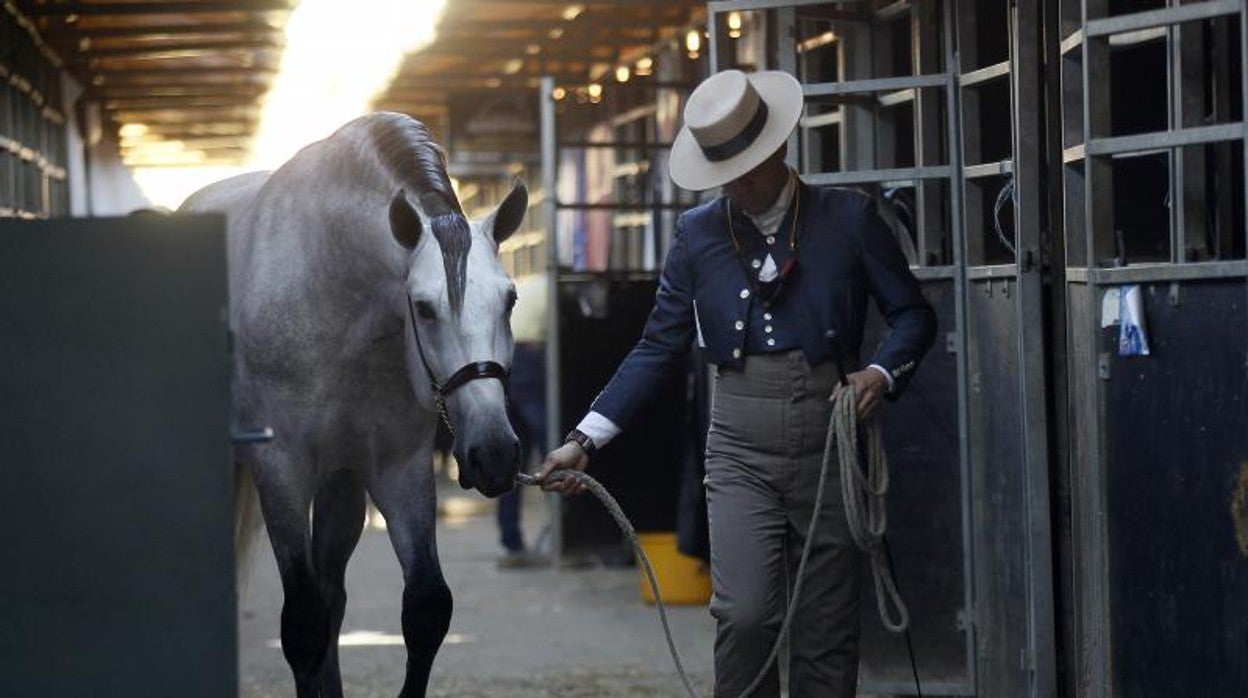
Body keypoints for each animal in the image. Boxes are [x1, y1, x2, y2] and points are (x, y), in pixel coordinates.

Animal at [180, 111, 526, 694]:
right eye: (423, 307)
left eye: (510, 299)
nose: (495, 454)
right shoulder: (281, 470)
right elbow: (301, 624)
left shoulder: (396, 469)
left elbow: (425, 609)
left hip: (341, 484)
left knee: (333, 598)